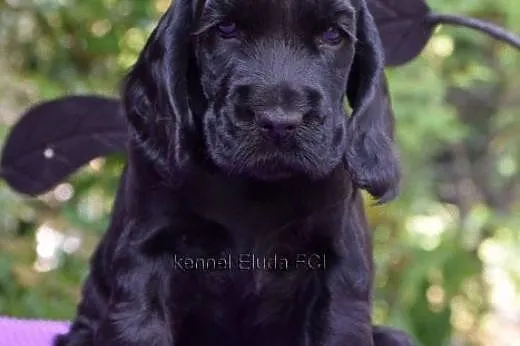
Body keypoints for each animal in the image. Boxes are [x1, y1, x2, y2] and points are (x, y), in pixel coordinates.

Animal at [54, 0, 412, 344]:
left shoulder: (338, 267)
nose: (280, 122)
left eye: (332, 34)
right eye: (226, 28)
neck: (256, 188)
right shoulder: (146, 257)